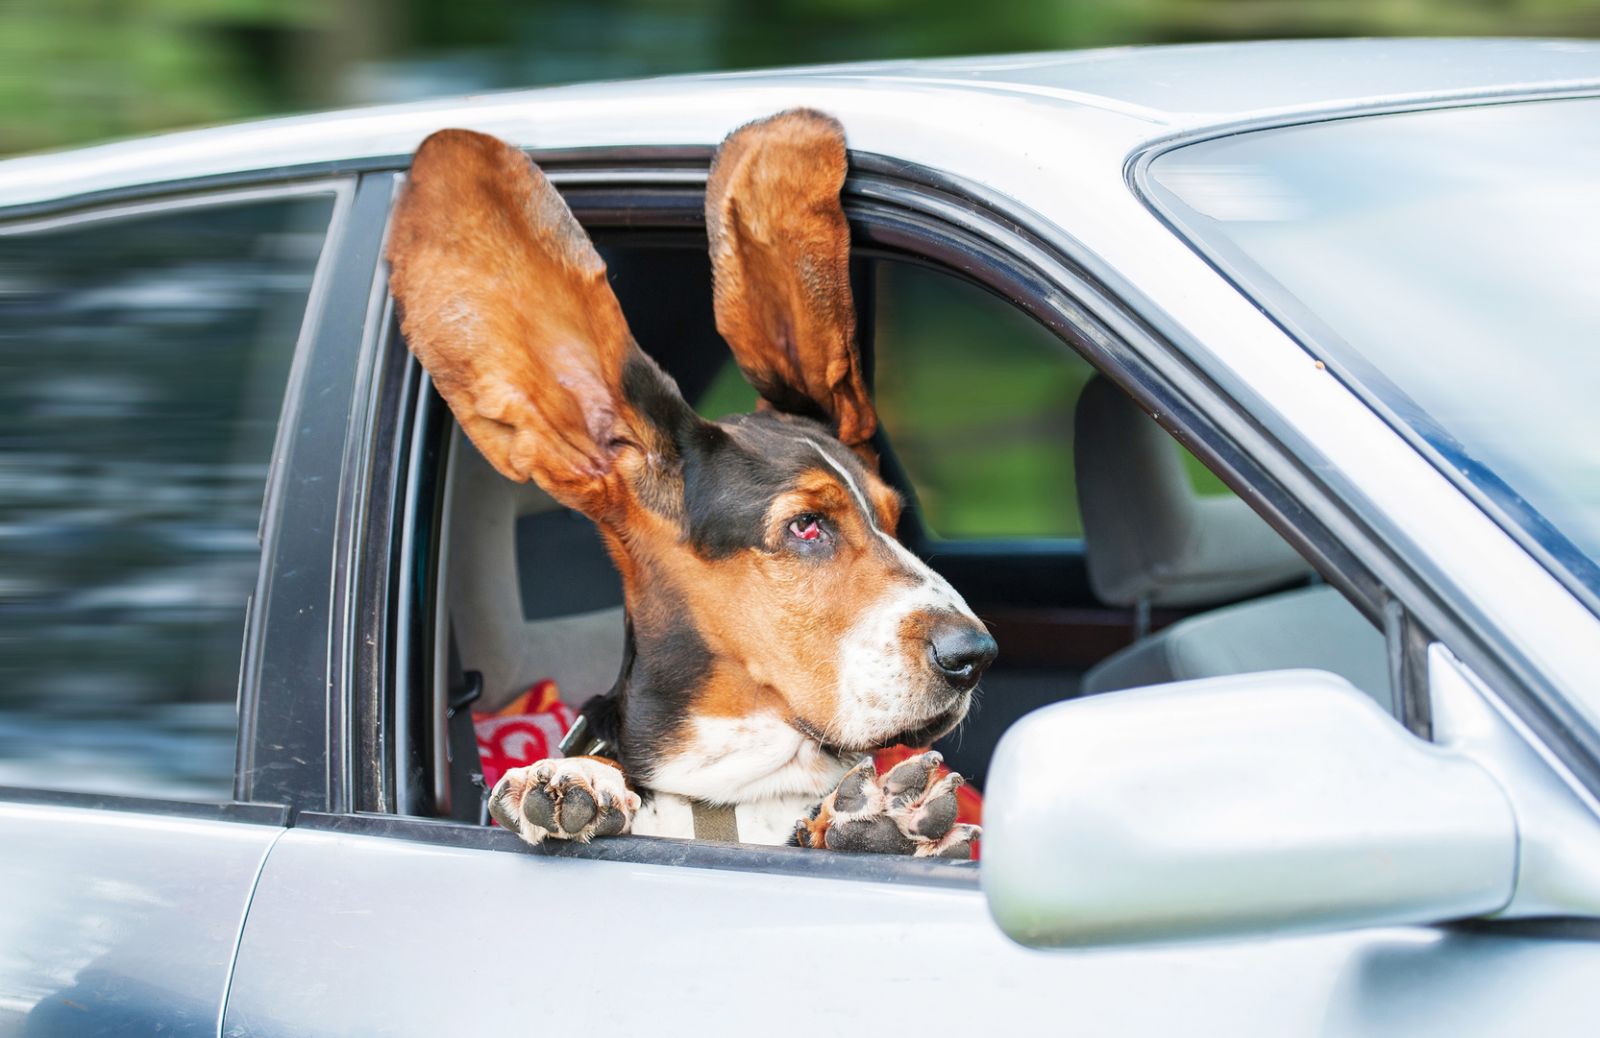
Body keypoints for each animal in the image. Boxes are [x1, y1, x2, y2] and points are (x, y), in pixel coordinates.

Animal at [385, 107, 985, 857]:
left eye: (895, 520)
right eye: (805, 525)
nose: (975, 655)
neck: (732, 796)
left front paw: (871, 820)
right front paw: (573, 779)